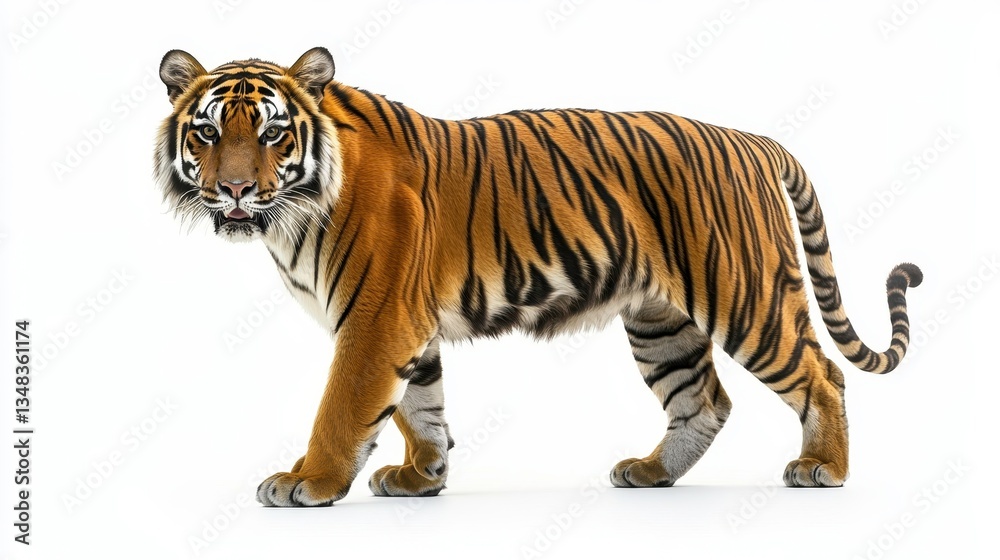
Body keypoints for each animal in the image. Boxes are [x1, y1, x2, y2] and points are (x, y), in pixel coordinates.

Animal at [154, 47, 921, 507]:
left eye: (273, 133)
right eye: (208, 133)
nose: (234, 191)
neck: (291, 213)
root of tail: (755, 140)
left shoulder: (374, 318)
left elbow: (344, 407)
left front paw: (308, 480)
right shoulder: (406, 324)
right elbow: (420, 406)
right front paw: (423, 476)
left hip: (745, 295)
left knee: (822, 374)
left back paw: (824, 469)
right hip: (660, 322)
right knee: (705, 401)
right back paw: (651, 473)